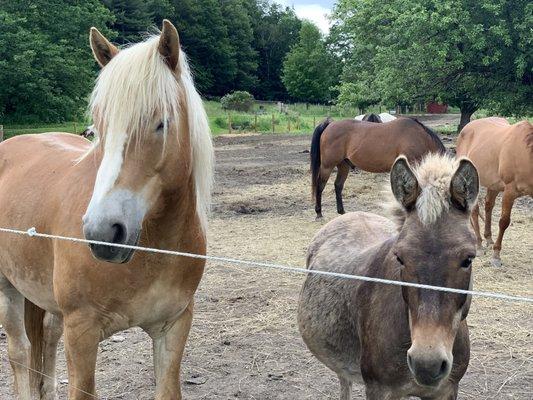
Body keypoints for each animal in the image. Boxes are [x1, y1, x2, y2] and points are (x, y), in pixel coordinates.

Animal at [0, 21, 213, 400]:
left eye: (161, 123)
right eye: (96, 127)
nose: (103, 233)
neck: (154, 251)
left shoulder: (173, 326)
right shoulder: (82, 332)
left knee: (47, 341)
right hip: (7, 287)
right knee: (20, 351)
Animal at [310, 117, 442, 219]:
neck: (419, 138)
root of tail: (330, 124)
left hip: (343, 165)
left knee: (338, 185)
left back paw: (342, 212)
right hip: (327, 166)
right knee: (320, 186)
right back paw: (319, 213)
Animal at [454, 116, 532, 266]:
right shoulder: (509, 192)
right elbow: (504, 222)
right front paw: (496, 256)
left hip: (493, 185)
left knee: (488, 205)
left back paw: (488, 238)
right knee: (475, 211)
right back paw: (479, 245)